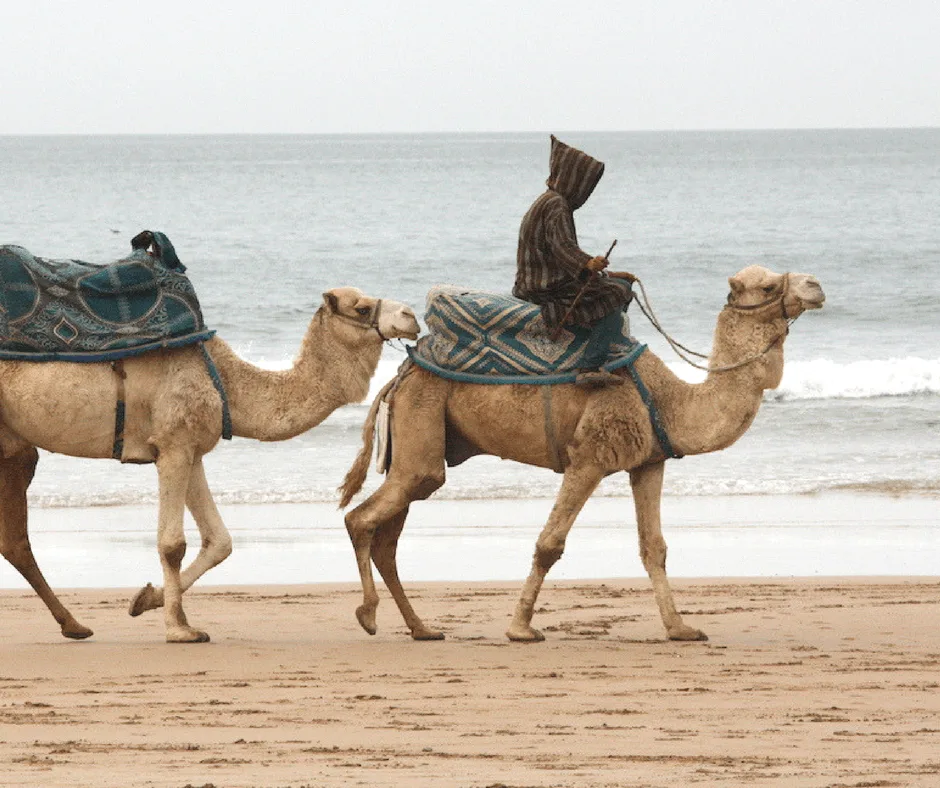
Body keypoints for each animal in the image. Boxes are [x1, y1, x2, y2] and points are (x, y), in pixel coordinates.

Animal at [0, 286, 418, 644]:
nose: (412, 316)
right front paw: (178, 629)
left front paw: (147, 600)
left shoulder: (192, 450)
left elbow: (220, 541)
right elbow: (172, 543)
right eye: (361, 307)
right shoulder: (173, 445)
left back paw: (74, 626)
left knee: (15, 540)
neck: (224, 379)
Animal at [338, 264, 824, 640]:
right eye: (767, 286)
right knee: (362, 518)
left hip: (419, 441)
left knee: (388, 536)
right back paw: (368, 616)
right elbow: (549, 544)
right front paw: (521, 628)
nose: (815, 285)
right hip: (422, 421)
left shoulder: (649, 462)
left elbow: (654, 548)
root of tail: (401, 372)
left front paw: (680, 629)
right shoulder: (589, 458)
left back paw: (421, 628)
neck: (671, 399)